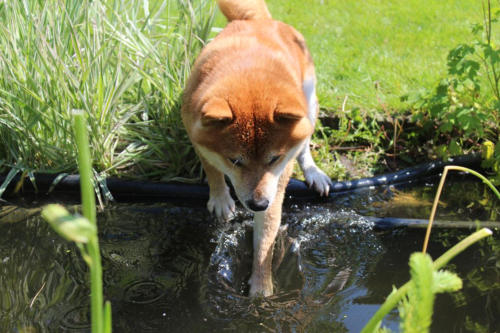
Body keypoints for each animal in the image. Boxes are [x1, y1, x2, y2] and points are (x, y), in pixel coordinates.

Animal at [182, 0, 330, 296]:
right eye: (235, 160)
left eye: (275, 159)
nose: (258, 204)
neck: (249, 72)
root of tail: (258, 21)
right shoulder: (194, 129)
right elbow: (211, 167)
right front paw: (220, 198)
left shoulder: (275, 186)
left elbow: (265, 243)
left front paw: (261, 289)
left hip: (308, 102)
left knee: (305, 146)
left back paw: (313, 173)